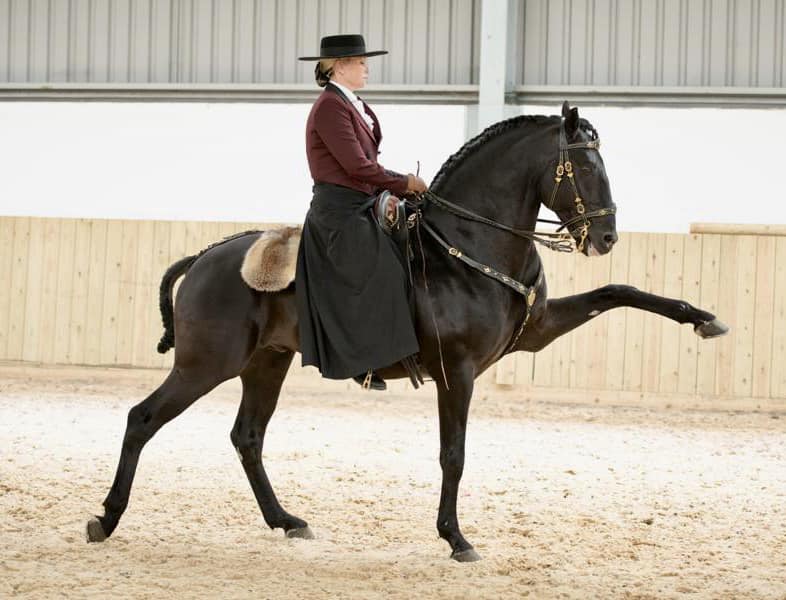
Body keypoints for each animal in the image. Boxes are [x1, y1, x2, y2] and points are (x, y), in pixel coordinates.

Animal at [84, 102, 724, 564]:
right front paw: (456, 539)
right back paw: (106, 518)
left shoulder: (536, 331)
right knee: (143, 419)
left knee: (248, 437)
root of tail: (205, 257)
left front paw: (702, 318)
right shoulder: (456, 372)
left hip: (266, 363)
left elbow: (619, 292)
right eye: (585, 166)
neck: (466, 248)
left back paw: (286, 521)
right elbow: (453, 454)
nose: (607, 237)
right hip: (205, 364)